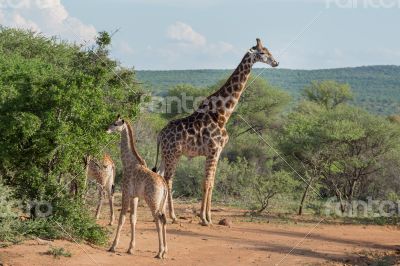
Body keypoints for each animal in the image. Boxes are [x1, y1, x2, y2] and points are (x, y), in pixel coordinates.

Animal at [106, 115, 167, 258]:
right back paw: (164, 251)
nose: (106, 129)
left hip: (153, 201)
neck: (128, 162)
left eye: (115, 123)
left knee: (158, 219)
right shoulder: (135, 197)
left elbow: (122, 218)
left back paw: (159, 252)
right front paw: (130, 248)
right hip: (162, 203)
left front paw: (113, 246)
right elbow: (133, 218)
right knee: (163, 219)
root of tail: (164, 185)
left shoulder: (126, 193)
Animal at [152, 38, 280, 224]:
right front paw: (203, 219)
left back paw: (161, 214)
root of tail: (160, 134)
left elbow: (212, 183)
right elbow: (206, 182)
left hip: (166, 154)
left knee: (161, 176)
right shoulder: (212, 150)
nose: (276, 62)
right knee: (168, 179)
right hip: (173, 153)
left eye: (269, 51)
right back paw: (173, 216)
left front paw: (209, 218)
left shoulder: (218, 151)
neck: (222, 114)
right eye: (263, 52)